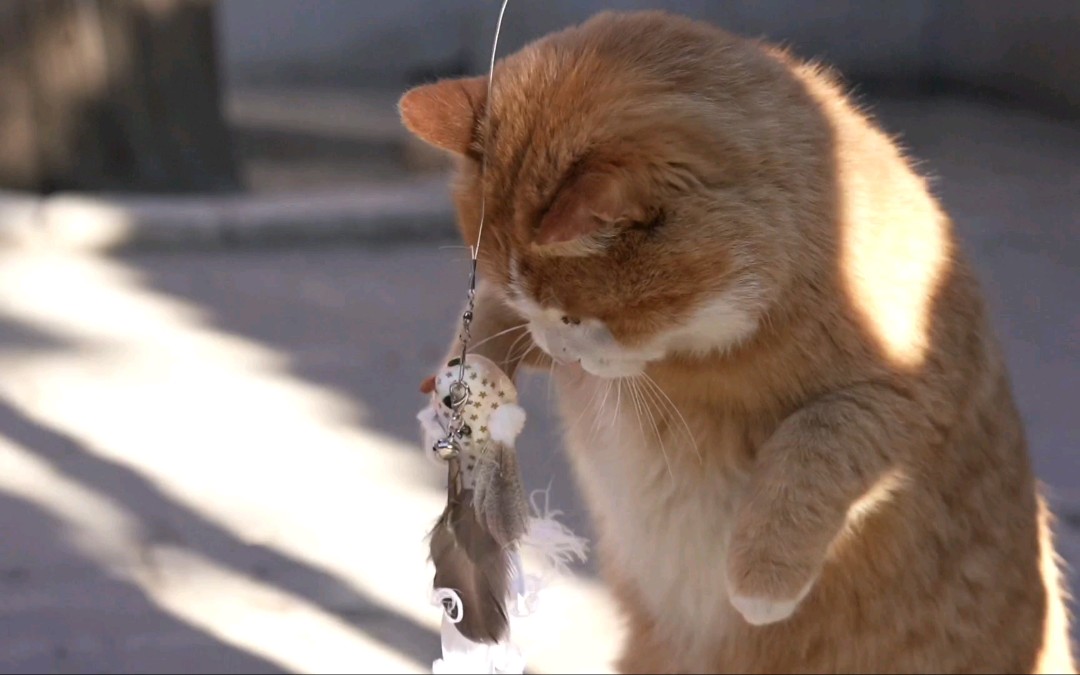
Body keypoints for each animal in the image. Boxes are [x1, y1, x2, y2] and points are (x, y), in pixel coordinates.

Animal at [401, 10, 1075, 673]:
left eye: (572, 317)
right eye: (530, 305)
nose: (564, 352)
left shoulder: (905, 398)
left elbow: (815, 443)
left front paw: (762, 582)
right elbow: (485, 330)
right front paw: (452, 402)